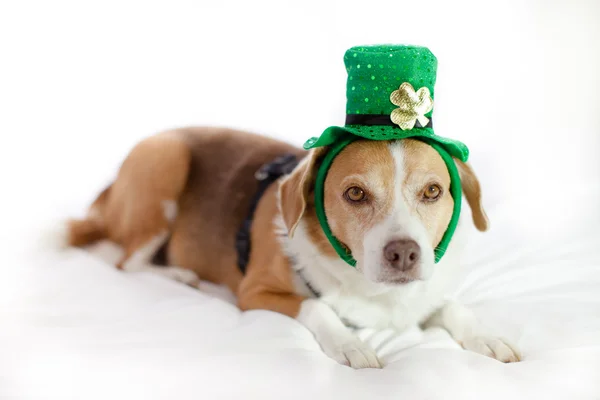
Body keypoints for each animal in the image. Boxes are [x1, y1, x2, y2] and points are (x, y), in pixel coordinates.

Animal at [67, 127, 520, 368]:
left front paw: (487, 337)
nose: (405, 254)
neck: (374, 292)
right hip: (165, 161)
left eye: (432, 192)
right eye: (355, 194)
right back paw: (179, 275)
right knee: (127, 261)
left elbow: (453, 307)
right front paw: (352, 344)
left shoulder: (417, 301)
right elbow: (318, 305)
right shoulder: (254, 293)